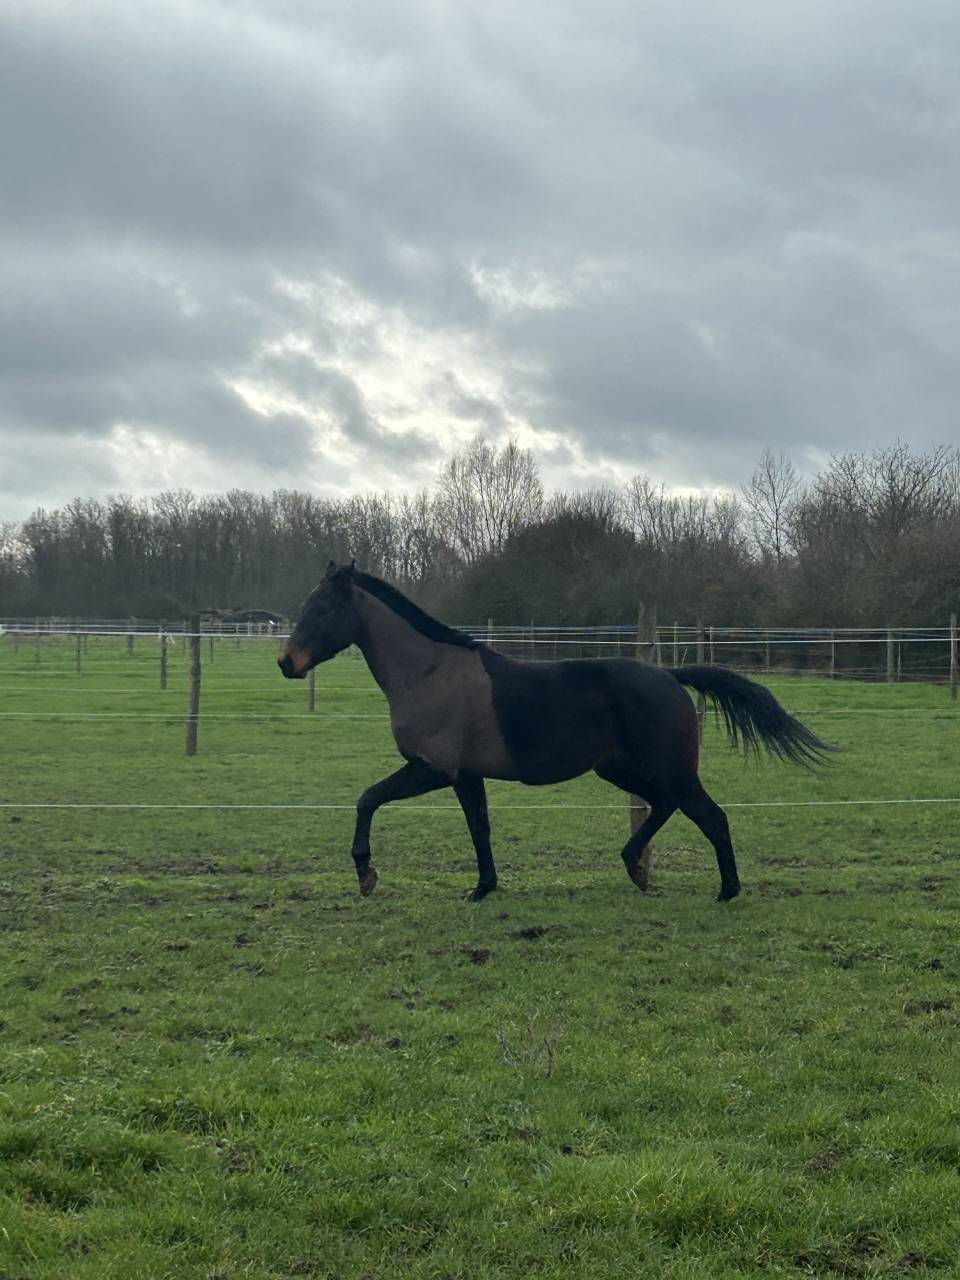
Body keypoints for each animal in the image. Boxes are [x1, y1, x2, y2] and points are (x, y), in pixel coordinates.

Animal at [278, 562, 832, 903]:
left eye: (322, 609)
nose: (287, 663)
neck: (430, 672)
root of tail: (670, 676)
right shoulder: (466, 776)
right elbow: (479, 828)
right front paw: (483, 888)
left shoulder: (433, 769)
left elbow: (367, 799)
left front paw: (366, 874)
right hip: (621, 770)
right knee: (665, 807)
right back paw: (635, 868)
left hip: (670, 770)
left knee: (710, 816)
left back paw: (725, 891)